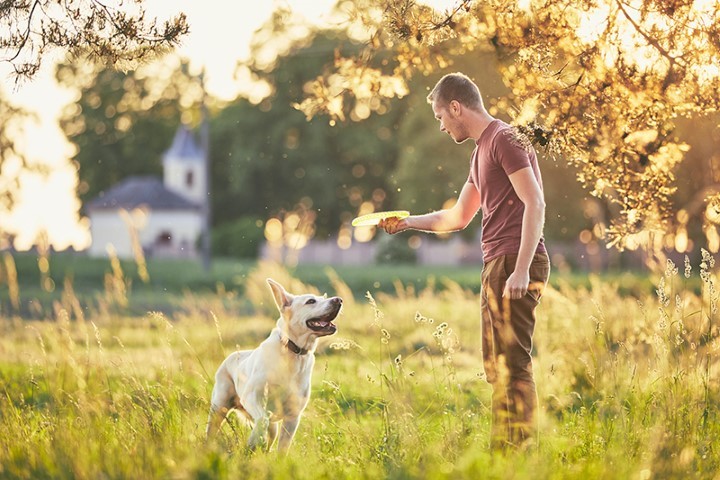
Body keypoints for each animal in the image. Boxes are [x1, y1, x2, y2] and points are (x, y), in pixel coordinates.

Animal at [205, 280, 344, 452]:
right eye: (311, 301)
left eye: (322, 298)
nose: (339, 300)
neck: (293, 353)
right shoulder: (252, 397)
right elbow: (262, 419)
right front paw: (254, 440)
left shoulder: (293, 417)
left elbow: (282, 449)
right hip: (219, 407)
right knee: (212, 431)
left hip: (273, 427)